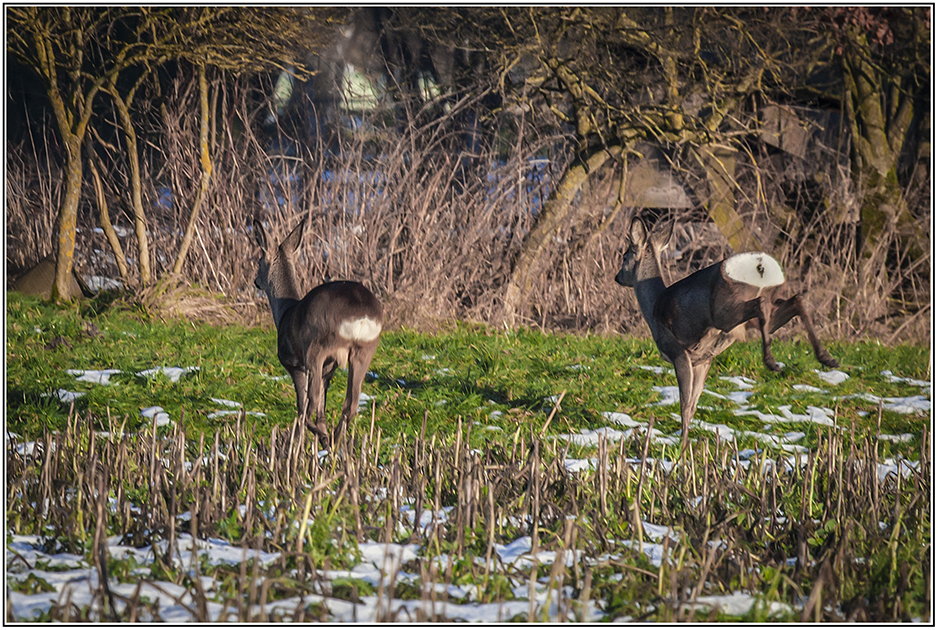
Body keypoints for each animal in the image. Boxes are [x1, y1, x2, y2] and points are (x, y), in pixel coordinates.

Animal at [250, 217, 382, 450]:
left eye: (258, 261)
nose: (256, 281)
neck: (285, 311)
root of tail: (362, 315)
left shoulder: (294, 363)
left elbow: (303, 405)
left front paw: (298, 442)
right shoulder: (329, 370)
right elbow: (321, 406)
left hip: (317, 347)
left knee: (309, 407)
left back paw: (324, 439)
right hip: (365, 350)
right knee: (351, 404)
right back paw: (335, 442)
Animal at [612, 220, 836, 452]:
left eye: (625, 256)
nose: (617, 277)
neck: (654, 307)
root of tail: (760, 264)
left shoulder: (678, 351)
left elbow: (684, 405)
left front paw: (682, 447)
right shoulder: (703, 360)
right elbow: (693, 404)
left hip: (725, 311)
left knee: (761, 304)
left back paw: (771, 361)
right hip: (756, 307)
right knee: (794, 300)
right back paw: (826, 357)